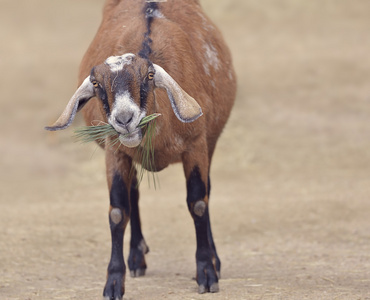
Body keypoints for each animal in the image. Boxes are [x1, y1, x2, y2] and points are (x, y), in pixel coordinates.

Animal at [46, 0, 236, 298]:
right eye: (96, 83)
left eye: (148, 76)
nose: (125, 119)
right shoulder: (115, 152)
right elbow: (117, 211)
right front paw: (113, 282)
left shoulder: (196, 145)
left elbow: (198, 203)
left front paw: (207, 272)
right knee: (133, 193)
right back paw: (136, 256)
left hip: (211, 142)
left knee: (208, 191)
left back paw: (214, 259)